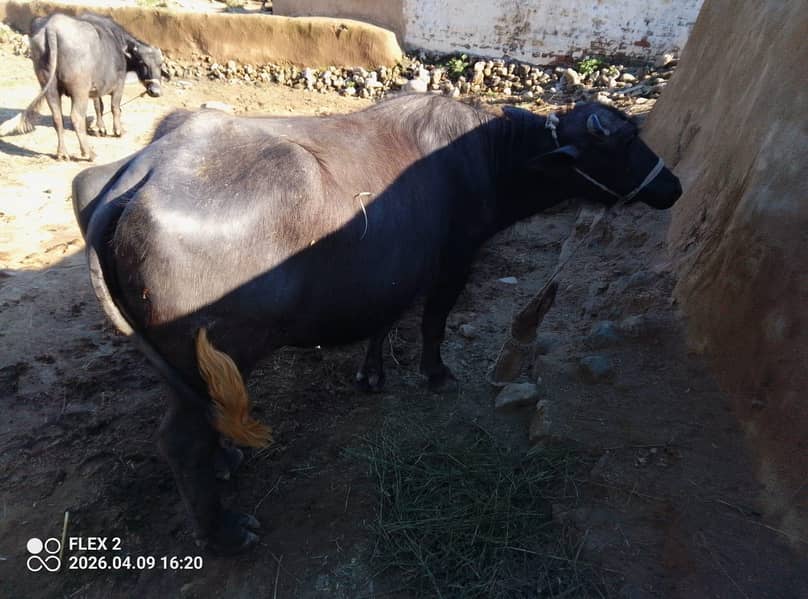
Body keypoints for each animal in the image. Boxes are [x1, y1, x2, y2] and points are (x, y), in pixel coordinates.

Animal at [72, 95, 682, 553]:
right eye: (624, 143)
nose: (672, 186)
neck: (488, 157)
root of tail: (139, 176)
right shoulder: (455, 261)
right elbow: (433, 322)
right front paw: (435, 374)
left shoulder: (392, 269)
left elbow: (385, 320)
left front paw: (372, 375)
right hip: (220, 349)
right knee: (180, 440)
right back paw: (224, 532)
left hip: (184, 364)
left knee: (200, 414)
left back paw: (225, 459)